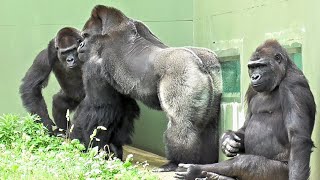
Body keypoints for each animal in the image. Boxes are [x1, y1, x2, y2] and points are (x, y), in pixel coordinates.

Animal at [77, 5, 222, 172]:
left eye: (85, 36)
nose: (80, 45)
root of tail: (200, 63)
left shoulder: (95, 61)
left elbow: (100, 108)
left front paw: (91, 146)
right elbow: (122, 108)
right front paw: (113, 148)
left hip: (182, 70)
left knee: (182, 124)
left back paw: (176, 162)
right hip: (213, 71)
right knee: (209, 126)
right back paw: (205, 162)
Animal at [176, 39, 316, 180]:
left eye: (262, 66)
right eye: (252, 67)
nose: (254, 77)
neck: (282, 75)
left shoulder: (293, 85)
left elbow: (298, 139)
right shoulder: (251, 89)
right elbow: (246, 125)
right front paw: (228, 140)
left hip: (282, 172)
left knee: (245, 163)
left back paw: (195, 170)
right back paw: (212, 175)